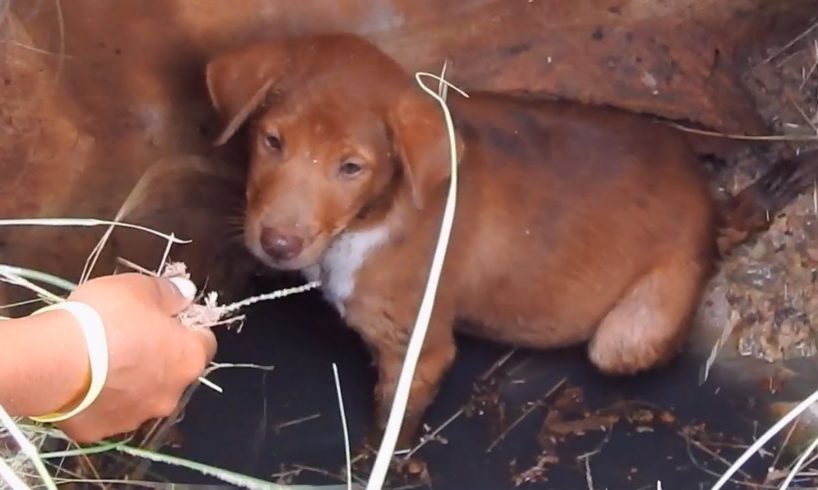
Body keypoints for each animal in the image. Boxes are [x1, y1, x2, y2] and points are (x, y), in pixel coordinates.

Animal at [204, 33, 816, 448]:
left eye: (351, 167)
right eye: (272, 141)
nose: (278, 244)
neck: (374, 216)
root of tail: (711, 206)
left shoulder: (418, 349)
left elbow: (388, 428)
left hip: (627, 335)